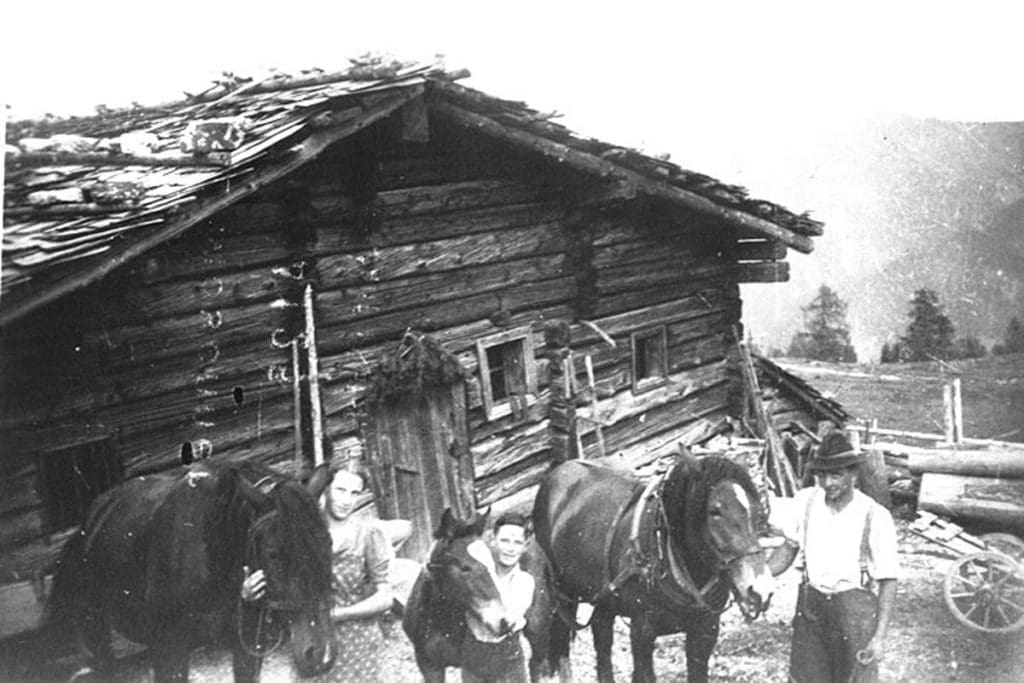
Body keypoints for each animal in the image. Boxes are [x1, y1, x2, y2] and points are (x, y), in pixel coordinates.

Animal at [48, 458, 335, 683]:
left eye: (328, 543)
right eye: (273, 553)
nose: (321, 656)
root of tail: (87, 525)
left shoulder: (249, 643)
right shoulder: (169, 648)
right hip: (94, 629)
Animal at [536, 450, 774, 679]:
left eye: (757, 510)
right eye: (714, 511)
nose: (759, 590)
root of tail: (557, 470)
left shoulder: (705, 632)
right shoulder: (642, 632)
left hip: (604, 600)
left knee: (602, 643)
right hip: (564, 594)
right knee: (563, 644)